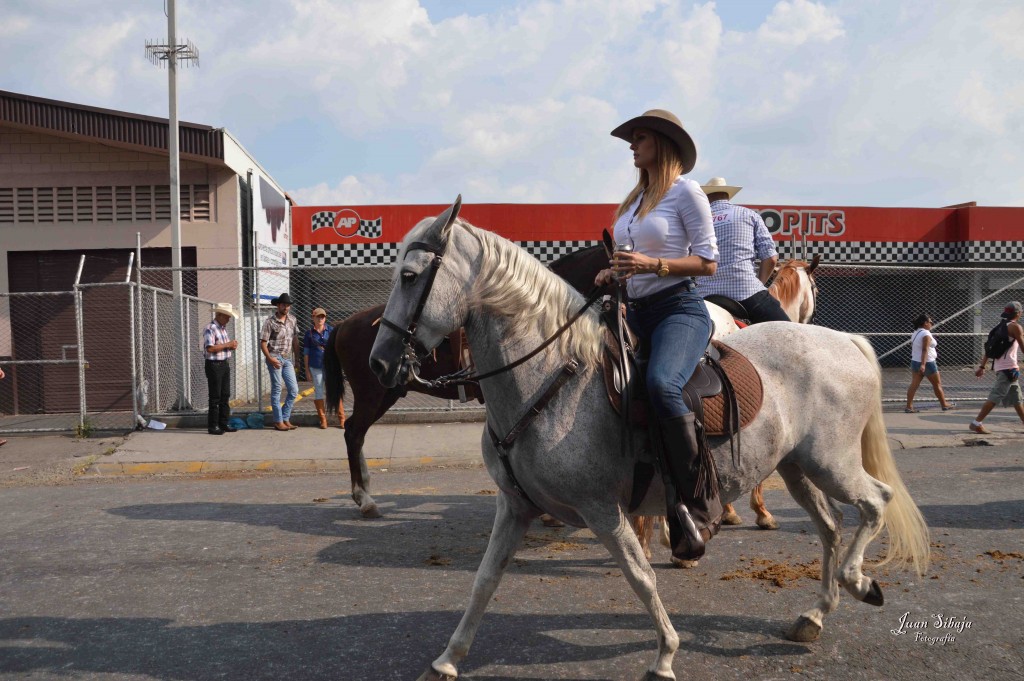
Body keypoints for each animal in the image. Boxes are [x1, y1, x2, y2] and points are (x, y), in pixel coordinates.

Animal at [368, 201, 929, 679]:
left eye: (410, 276)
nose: (379, 363)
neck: (554, 375)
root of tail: (846, 341)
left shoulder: (602, 509)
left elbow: (640, 576)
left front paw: (664, 655)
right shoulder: (516, 506)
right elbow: (484, 581)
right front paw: (447, 659)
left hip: (831, 463)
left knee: (876, 502)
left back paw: (858, 580)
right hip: (798, 467)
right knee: (832, 528)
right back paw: (816, 614)